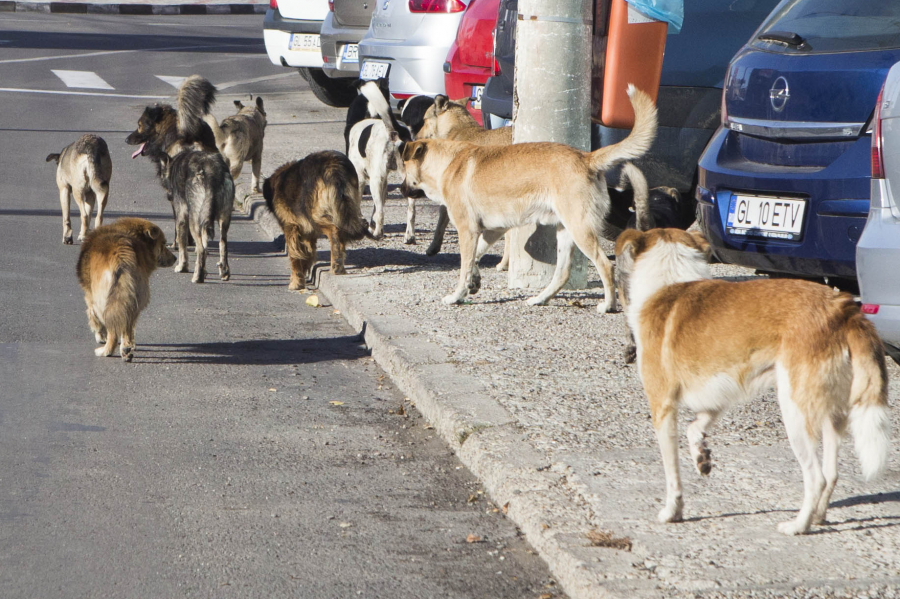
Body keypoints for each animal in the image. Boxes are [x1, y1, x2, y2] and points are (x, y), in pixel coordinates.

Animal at [77, 219, 178, 364]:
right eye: (163, 243)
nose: (175, 258)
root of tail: (121, 257)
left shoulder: (90, 297)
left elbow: (93, 316)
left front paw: (100, 336)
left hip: (106, 301)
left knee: (113, 329)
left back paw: (106, 350)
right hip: (133, 299)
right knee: (128, 325)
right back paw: (126, 350)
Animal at [148, 149, 234, 282]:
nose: (169, 197)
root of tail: (211, 171)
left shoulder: (181, 217)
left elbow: (182, 245)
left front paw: (182, 267)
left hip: (194, 222)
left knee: (201, 249)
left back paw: (197, 277)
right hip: (223, 221)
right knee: (222, 244)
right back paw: (224, 272)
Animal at [262, 151, 370, 290]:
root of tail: (333, 166)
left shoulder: (290, 226)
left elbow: (294, 255)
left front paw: (296, 282)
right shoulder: (308, 232)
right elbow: (308, 252)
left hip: (315, 216)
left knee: (334, 231)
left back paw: (335, 266)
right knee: (342, 233)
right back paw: (339, 265)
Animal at [398, 85, 656, 314]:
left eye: (404, 167)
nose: (400, 190)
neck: (449, 160)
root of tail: (586, 158)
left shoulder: (467, 230)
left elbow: (464, 265)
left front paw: (457, 294)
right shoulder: (493, 230)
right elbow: (475, 258)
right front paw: (474, 281)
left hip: (580, 229)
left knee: (605, 265)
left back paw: (609, 305)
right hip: (565, 232)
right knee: (562, 273)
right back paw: (540, 298)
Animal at [616, 227, 888, 536]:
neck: (669, 282)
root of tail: (842, 309)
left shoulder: (662, 406)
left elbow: (671, 471)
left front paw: (672, 511)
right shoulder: (719, 394)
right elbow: (695, 426)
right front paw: (702, 456)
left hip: (794, 412)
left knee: (816, 477)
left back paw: (799, 525)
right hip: (833, 414)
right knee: (831, 474)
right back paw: (818, 517)